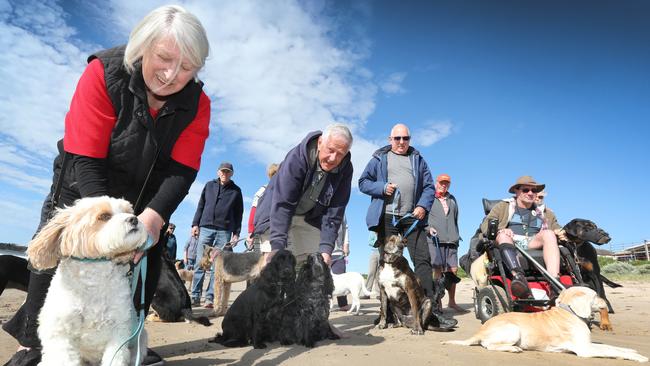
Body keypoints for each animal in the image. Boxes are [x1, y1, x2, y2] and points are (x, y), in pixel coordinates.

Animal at [27, 197, 148, 366]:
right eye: (104, 216)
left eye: (128, 212)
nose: (134, 219)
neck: (94, 278)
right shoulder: (59, 333)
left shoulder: (118, 334)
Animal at [440, 288, 644, 364]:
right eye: (595, 296)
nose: (606, 304)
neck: (568, 311)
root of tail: (480, 330)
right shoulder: (585, 349)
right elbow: (612, 351)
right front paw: (639, 358)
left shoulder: (589, 344)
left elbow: (614, 347)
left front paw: (632, 351)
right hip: (513, 329)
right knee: (488, 345)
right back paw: (513, 349)